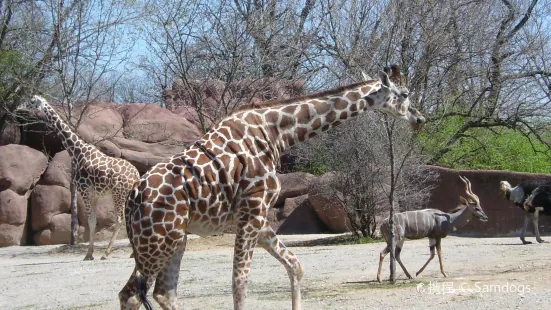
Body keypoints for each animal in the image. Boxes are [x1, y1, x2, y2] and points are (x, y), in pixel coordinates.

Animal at [117, 66, 426, 310]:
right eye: (405, 93)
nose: (420, 119)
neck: (276, 134)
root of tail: (131, 199)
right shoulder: (252, 210)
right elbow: (239, 283)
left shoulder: (258, 218)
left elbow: (295, 266)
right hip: (157, 241)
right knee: (132, 294)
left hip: (174, 239)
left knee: (161, 293)